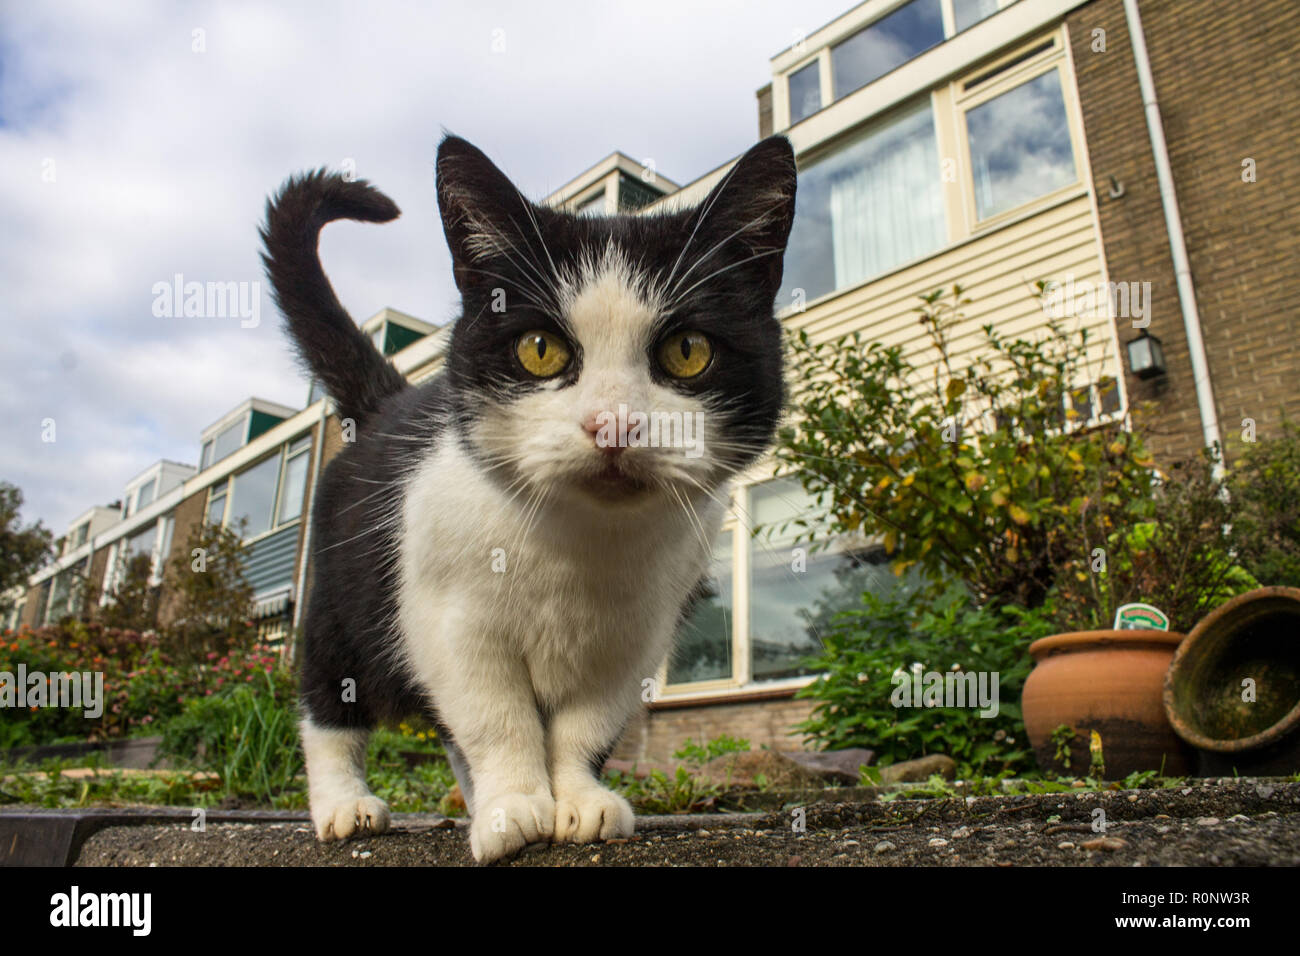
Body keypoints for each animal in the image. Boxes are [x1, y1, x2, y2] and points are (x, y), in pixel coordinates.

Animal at [260, 136, 795, 868]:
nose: (613, 424)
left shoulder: (637, 637)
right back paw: (346, 805)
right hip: (342, 600)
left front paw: (577, 801)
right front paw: (513, 805)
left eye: (688, 351)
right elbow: (496, 717)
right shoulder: (448, 622)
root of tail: (387, 402)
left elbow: (586, 724)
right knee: (328, 701)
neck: (579, 546)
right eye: (540, 350)